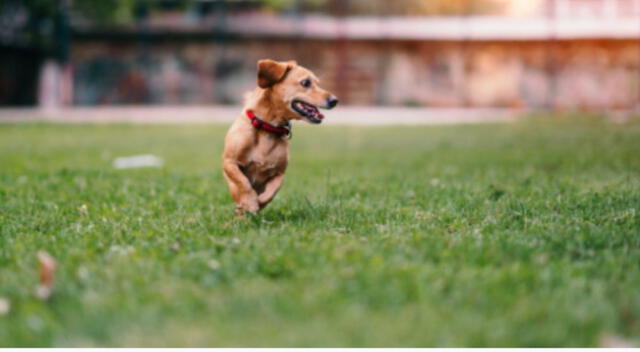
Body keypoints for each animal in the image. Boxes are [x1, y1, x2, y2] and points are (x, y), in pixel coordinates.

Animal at [221, 59, 338, 216]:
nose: (335, 100)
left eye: (318, 83)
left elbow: (272, 190)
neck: (266, 128)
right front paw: (250, 202)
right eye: (306, 82)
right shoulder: (229, 162)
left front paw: (259, 202)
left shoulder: (280, 173)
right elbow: (243, 183)